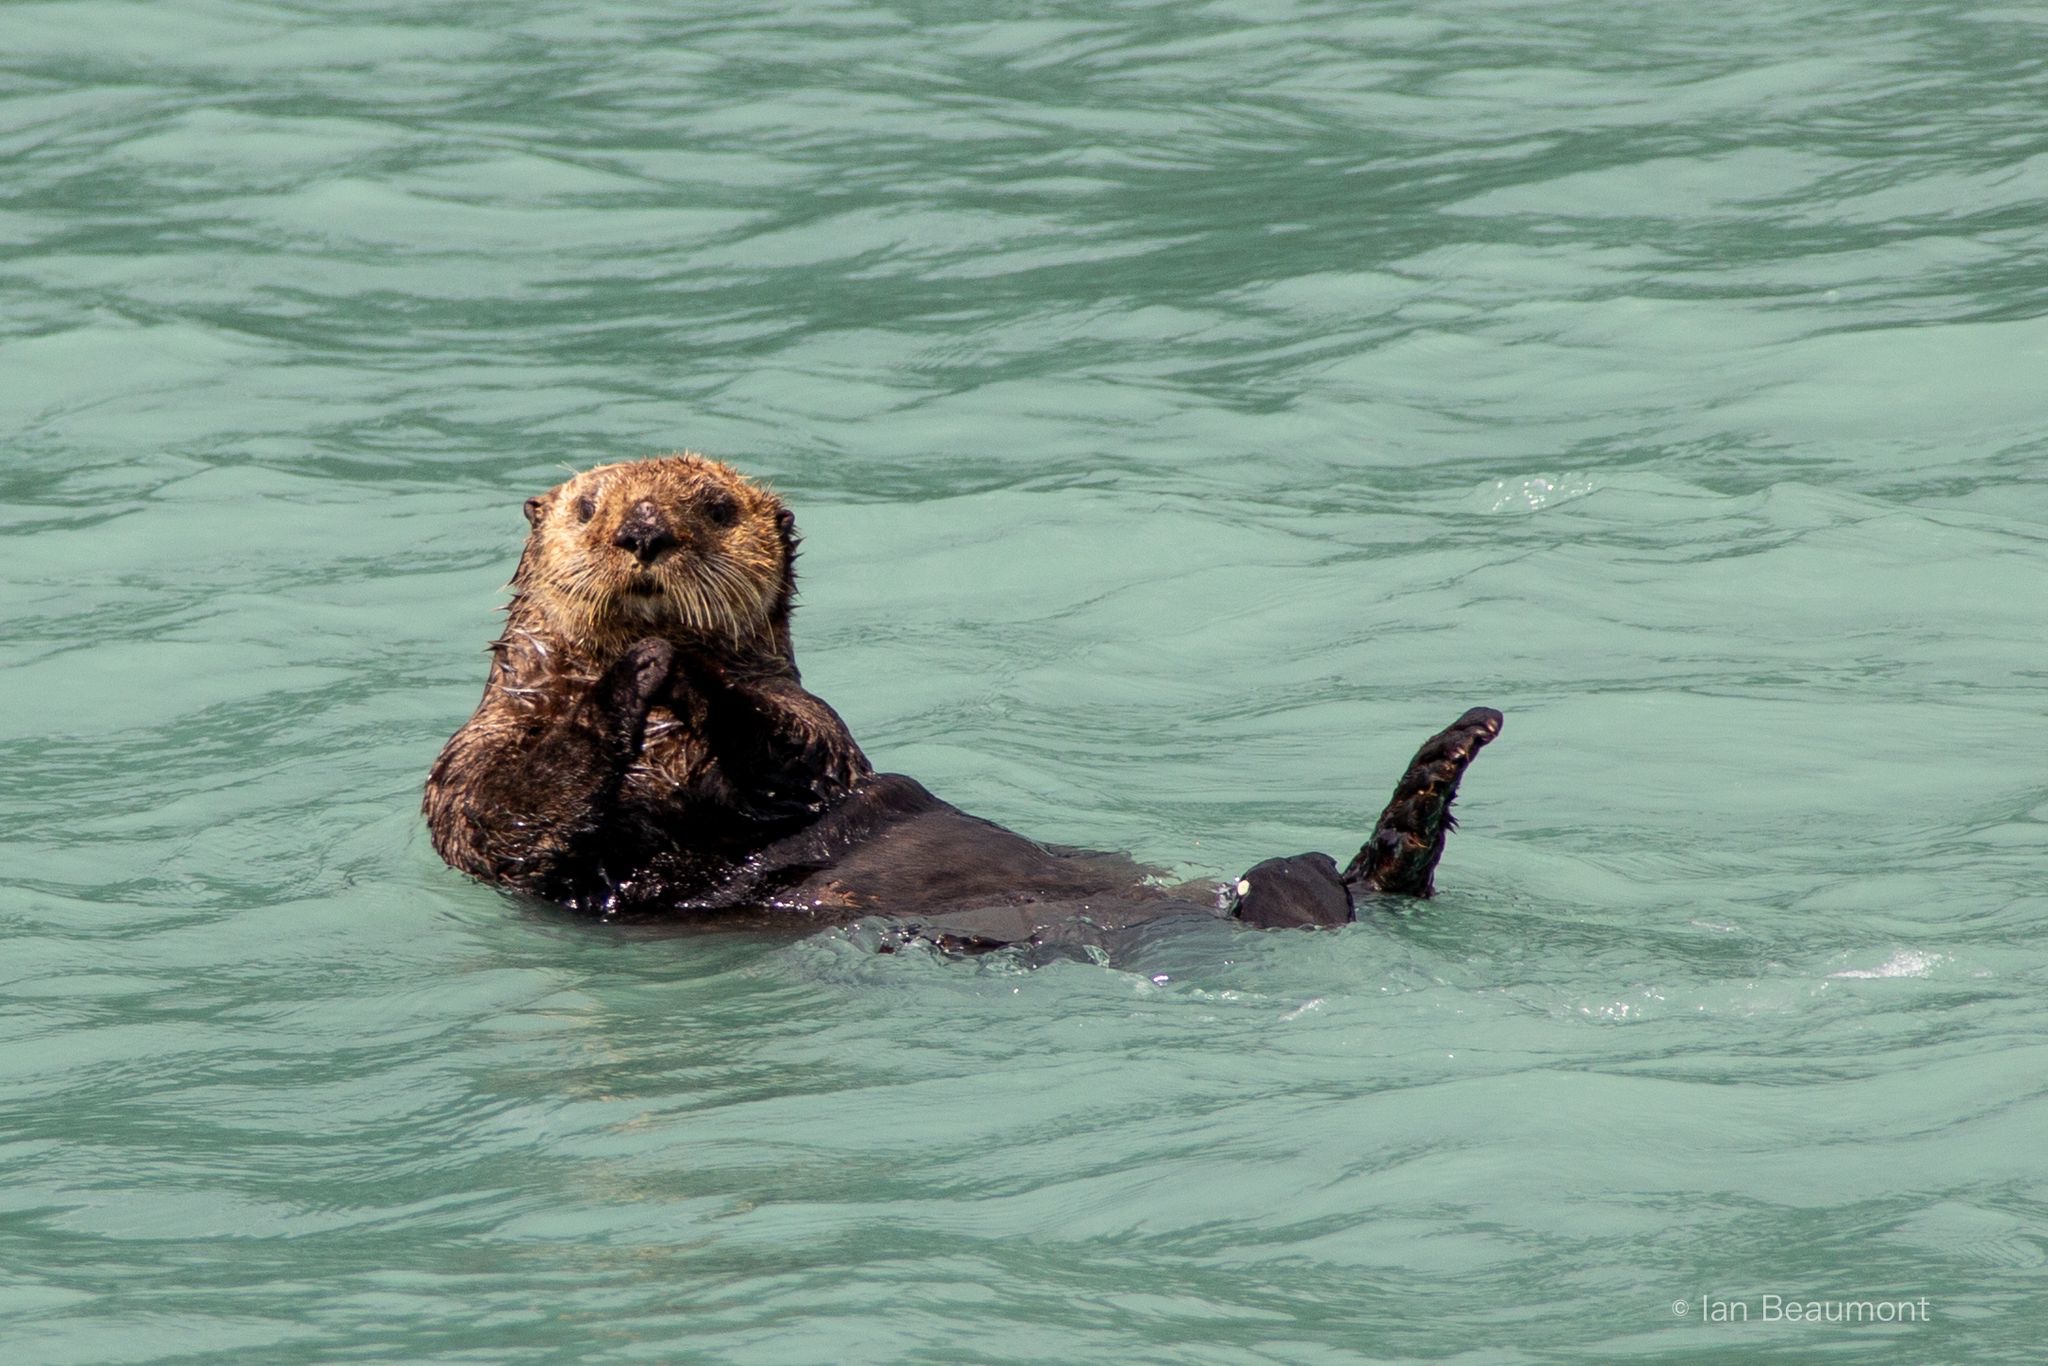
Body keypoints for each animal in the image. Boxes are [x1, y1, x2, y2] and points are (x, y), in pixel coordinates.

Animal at [424, 454, 1502, 948]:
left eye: (716, 508)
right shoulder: (481, 762)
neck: (661, 748)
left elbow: (793, 757)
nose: (643, 533)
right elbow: (508, 815)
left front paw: (682, 666)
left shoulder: (816, 731)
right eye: (586, 507)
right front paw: (632, 669)